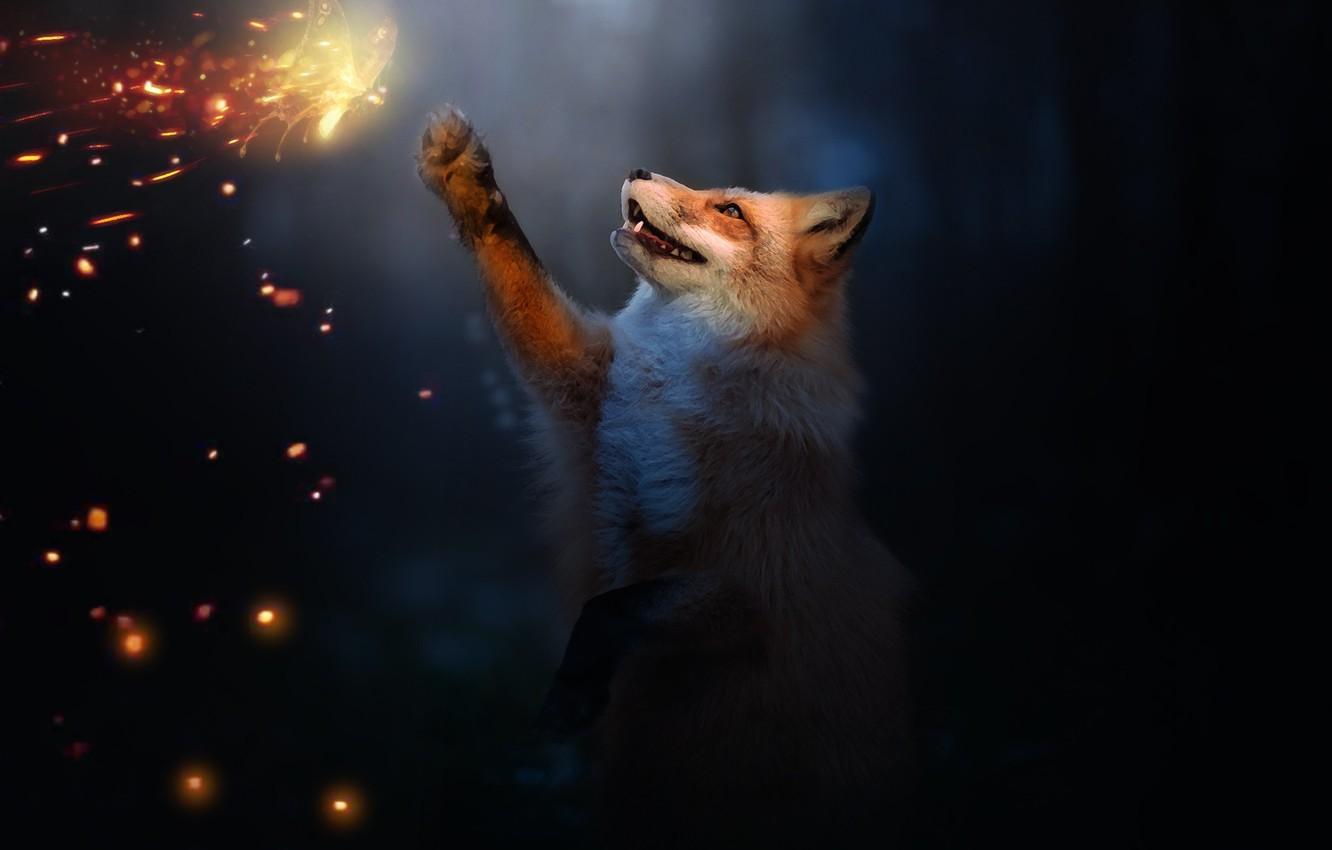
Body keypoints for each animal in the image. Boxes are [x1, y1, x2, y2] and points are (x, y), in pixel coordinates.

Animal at [417, 105, 912, 847]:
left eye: (730, 210)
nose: (638, 167)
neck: (671, 388)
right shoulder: (585, 395)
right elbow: (517, 268)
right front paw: (465, 183)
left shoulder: (748, 583)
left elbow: (610, 607)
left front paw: (572, 694)